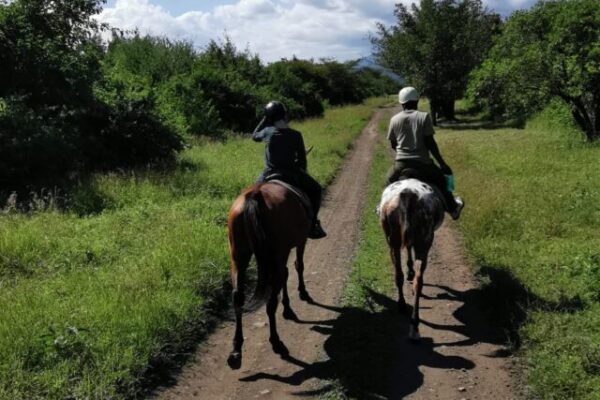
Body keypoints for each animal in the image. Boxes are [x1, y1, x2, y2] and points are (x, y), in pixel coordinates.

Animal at [224, 181, 310, 368]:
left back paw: (236, 350)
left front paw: (288, 306)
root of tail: (255, 195)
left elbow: (287, 274)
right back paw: (276, 341)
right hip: (278, 253)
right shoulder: (300, 242)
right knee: (271, 302)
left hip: (238, 256)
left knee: (238, 296)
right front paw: (301, 293)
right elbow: (298, 266)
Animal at [380, 178, 446, 340]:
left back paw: (403, 306)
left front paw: (409, 269)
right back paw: (414, 323)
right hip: (425, 242)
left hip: (393, 242)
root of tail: (408, 194)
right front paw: (410, 269)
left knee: (399, 275)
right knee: (418, 281)